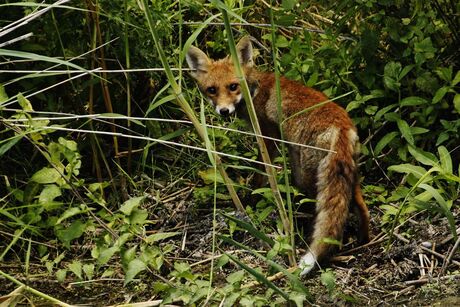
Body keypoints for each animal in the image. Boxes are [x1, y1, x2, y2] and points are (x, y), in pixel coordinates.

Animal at [186, 36, 370, 276]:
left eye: (233, 86)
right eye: (212, 90)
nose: (224, 111)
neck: (254, 90)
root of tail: (340, 126)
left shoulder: (267, 137)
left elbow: (260, 174)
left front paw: (250, 201)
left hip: (308, 177)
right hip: (348, 176)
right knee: (361, 208)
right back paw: (364, 240)